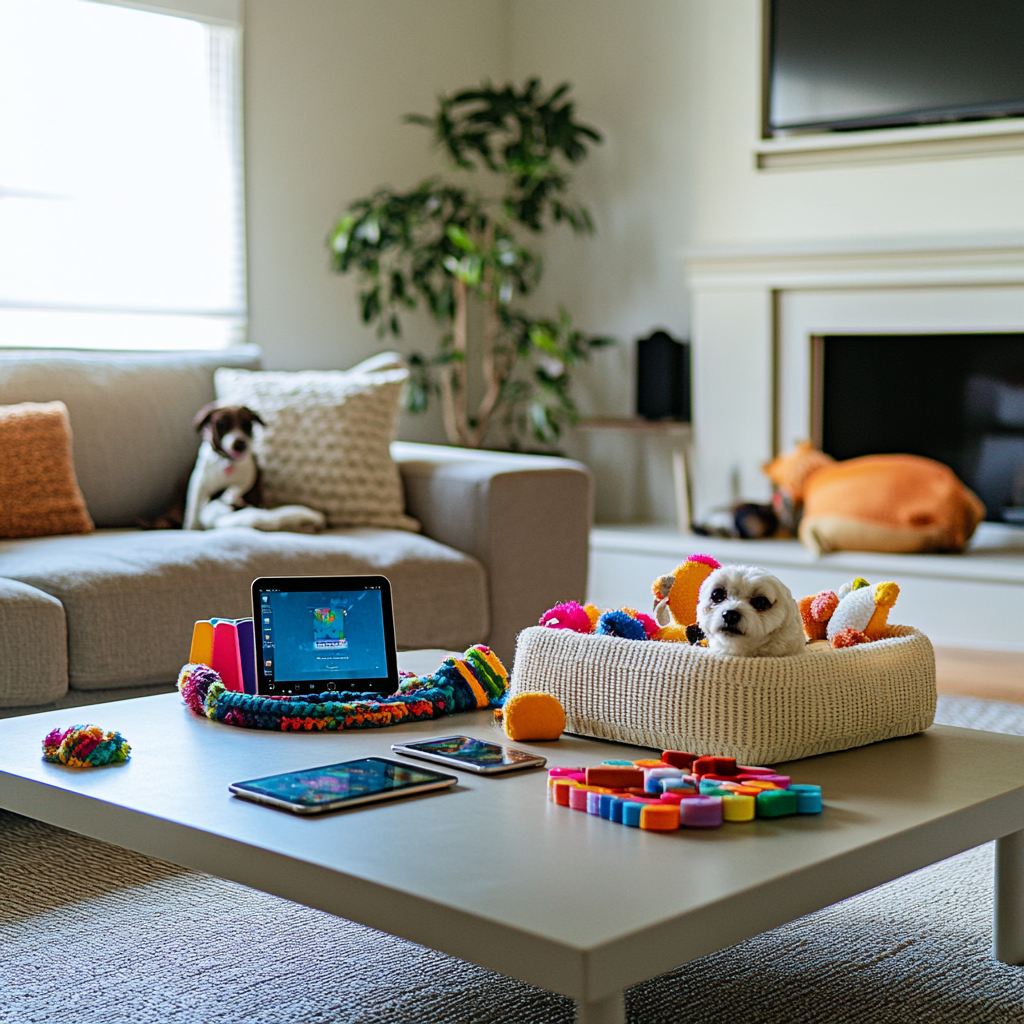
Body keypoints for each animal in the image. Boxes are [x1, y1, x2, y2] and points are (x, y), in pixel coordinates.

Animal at [185, 399, 323, 532]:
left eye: (247, 425)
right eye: (222, 424)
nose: (240, 444)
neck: (228, 462)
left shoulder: (248, 476)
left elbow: (237, 488)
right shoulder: (199, 483)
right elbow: (193, 508)